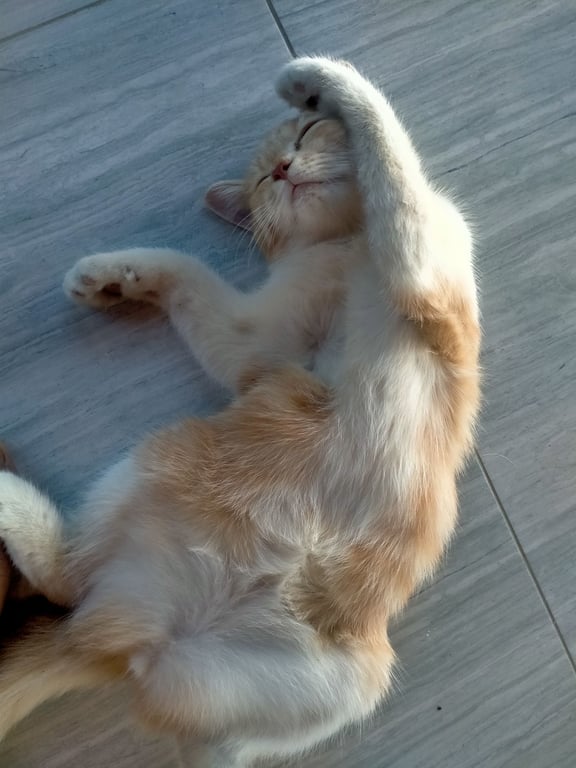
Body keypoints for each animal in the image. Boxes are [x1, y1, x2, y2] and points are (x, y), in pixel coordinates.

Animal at [0, 57, 480, 767]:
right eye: (259, 181)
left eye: (306, 133)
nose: (281, 168)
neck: (349, 244)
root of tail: (139, 634)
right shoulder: (267, 344)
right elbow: (197, 281)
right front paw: (116, 277)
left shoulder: (418, 262)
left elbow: (387, 148)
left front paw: (320, 78)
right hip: (160, 464)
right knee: (66, 579)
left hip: (328, 685)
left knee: (73, 589)